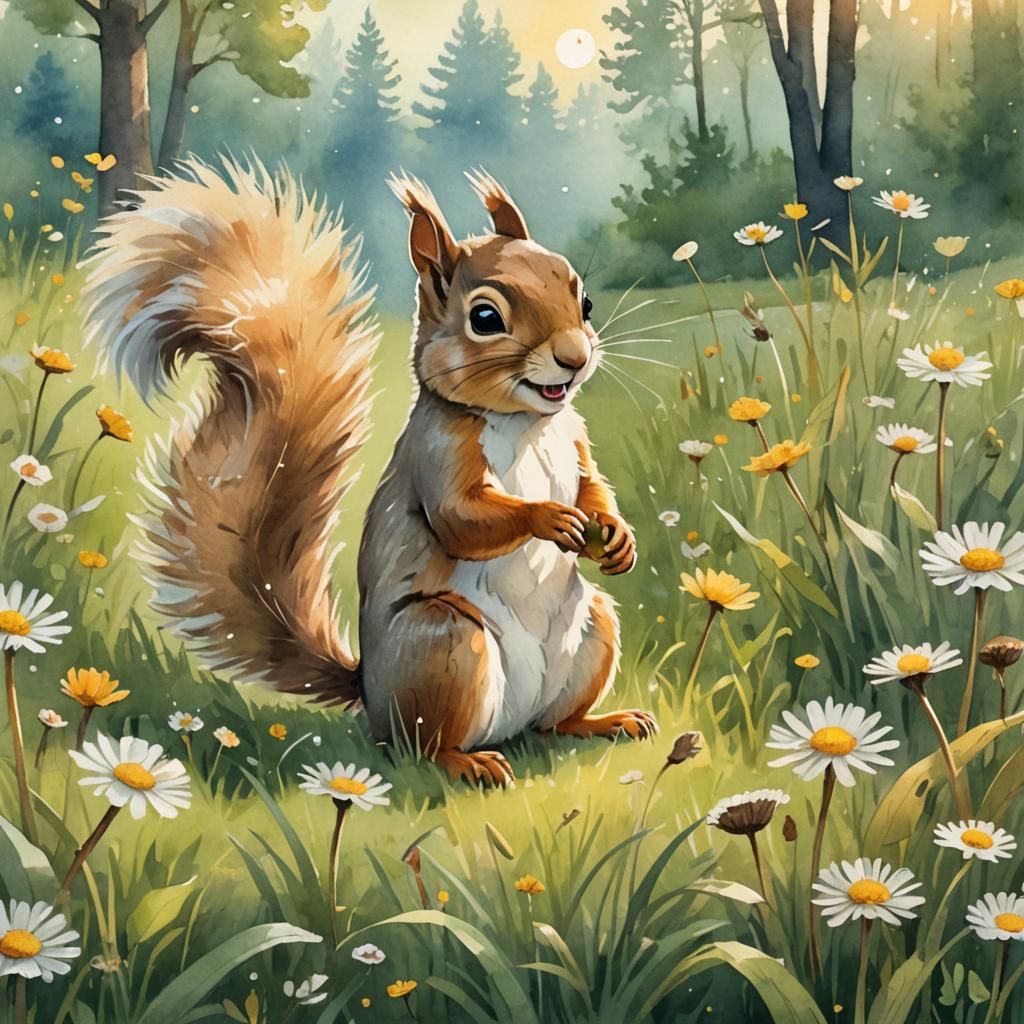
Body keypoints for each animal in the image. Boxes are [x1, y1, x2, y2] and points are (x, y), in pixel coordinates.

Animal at [82, 158, 656, 786]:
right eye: (485, 318)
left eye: (586, 302)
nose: (575, 358)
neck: (524, 422)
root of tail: (371, 697)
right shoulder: (437, 454)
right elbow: (461, 518)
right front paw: (548, 518)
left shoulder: (574, 441)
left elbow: (592, 487)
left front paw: (619, 537)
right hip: (444, 644)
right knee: (423, 748)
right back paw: (468, 761)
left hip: (593, 626)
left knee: (554, 723)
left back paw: (605, 721)